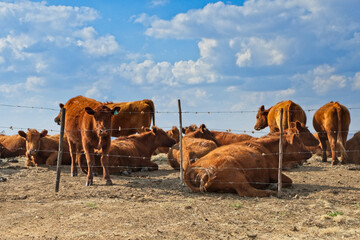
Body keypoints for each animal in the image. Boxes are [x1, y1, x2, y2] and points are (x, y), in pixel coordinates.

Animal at [183, 129, 312, 197]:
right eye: (298, 142)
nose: (310, 152)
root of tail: (193, 167)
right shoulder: (273, 171)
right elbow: (289, 180)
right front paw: (274, 185)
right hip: (235, 174)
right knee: (245, 190)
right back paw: (270, 191)